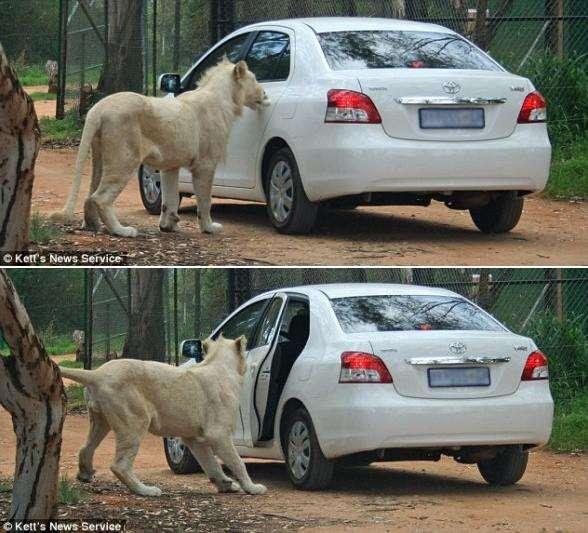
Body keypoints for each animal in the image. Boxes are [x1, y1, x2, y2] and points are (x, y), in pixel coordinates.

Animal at [52, 57, 268, 237]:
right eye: (255, 79)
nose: (265, 94)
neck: (226, 99)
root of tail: (97, 109)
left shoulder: (170, 165)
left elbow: (169, 198)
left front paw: (167, 225)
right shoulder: (205, 164)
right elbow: (205, 200)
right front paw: (209, 228)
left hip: (99, 156)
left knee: (90, 194)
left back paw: (92, 225)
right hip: (125, 157)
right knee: (101, 197)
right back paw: (122, 231)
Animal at [58, 334, 266, 496]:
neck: (219, 365)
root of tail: (97, 373)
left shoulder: (193, 438)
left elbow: (210, 463)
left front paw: (226, 485)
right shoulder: (218, 433)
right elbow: (237, 462)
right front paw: (253, 487)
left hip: (100, 420)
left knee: (85, 449)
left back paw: (85, 474)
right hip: (135, 421)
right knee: (120, 465)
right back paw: (146, 490)